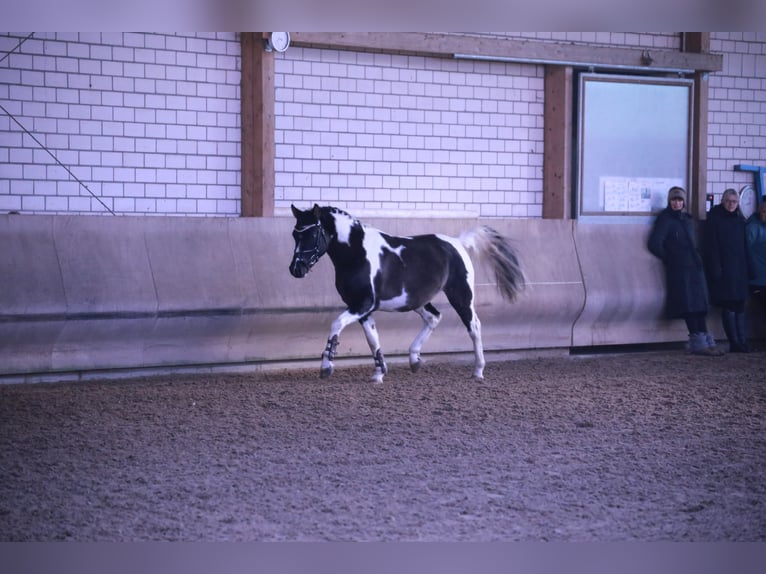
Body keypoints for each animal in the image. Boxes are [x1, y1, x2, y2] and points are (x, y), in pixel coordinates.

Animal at [288, 204, 525, 383]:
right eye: (295, 234)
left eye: (312, 233)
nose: (296, 269)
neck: (357, 253)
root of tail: (458, 243)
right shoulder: (362, 308)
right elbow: (372, 339)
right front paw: (379, 373)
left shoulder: (362, 304)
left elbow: (336, 324)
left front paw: (326, 367)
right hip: (418, 301)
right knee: (434, 317)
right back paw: (415, 360)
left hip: (461, 296)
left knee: (474, 326)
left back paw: (478, 371)